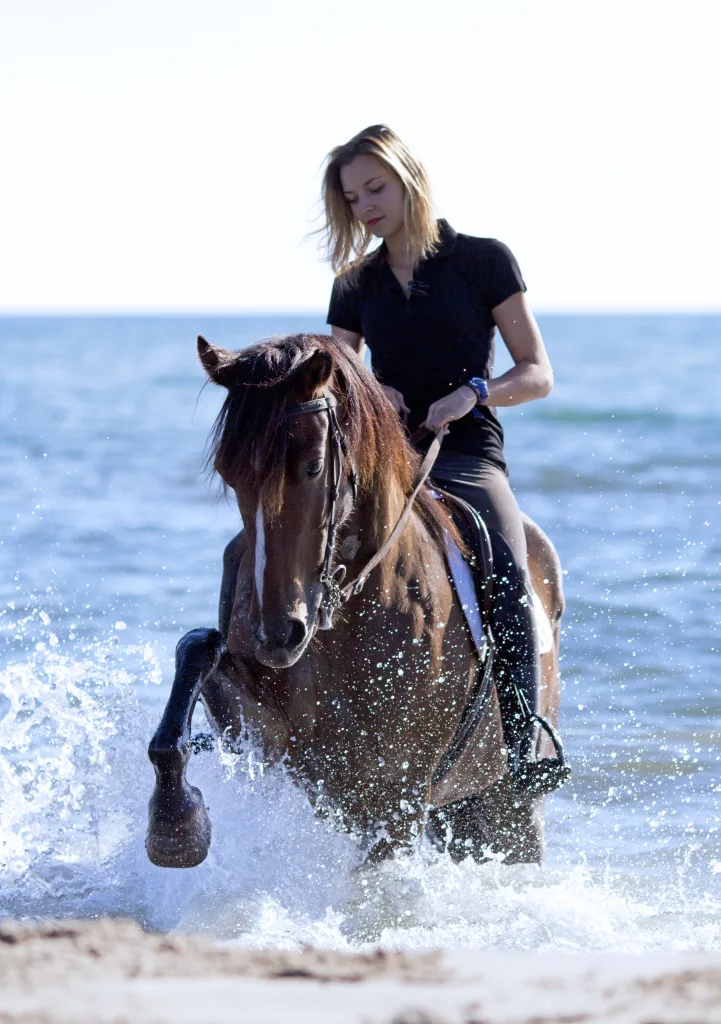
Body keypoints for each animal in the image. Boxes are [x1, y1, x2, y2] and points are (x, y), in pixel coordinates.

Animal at [145, 331, 565, 868]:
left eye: (313, 467)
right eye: (228, 472)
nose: (278, 635)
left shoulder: (397, 795)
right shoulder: (272, 741)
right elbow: (198, 648)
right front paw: (175, 827)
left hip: (505, 808)